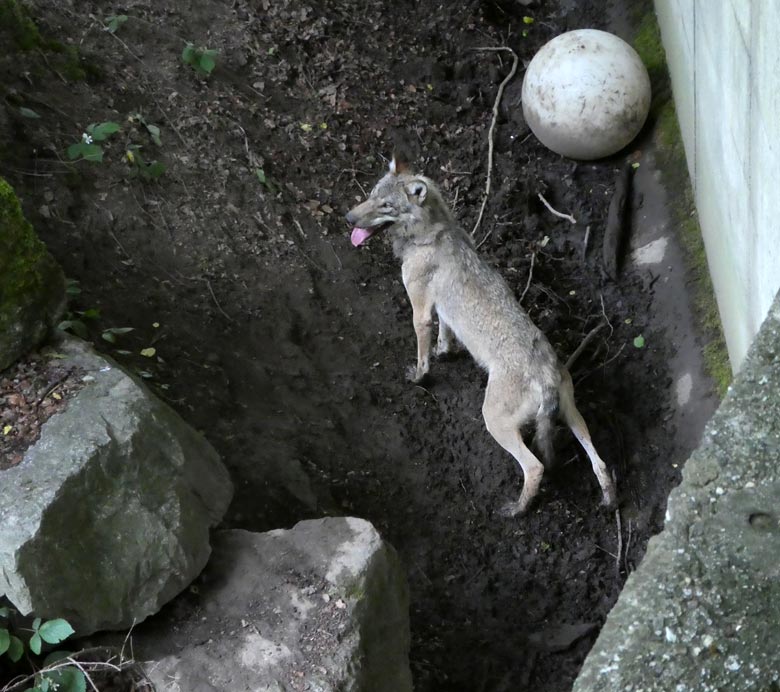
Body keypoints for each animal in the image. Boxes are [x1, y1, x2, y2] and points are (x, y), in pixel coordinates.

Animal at [346, 154, 616, 516]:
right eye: (372, 195)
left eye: (386, 205)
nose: (348, 217)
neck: (433, 232)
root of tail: (545, 373)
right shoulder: (442, 311)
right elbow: (445, 336)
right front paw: (445, 352)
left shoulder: (420, 311)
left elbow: (422, 355)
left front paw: (419, 377)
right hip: (572, 415)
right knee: (598, 461)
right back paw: (608, 500)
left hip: (494, 422)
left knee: (535, 467)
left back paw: (516, 510)